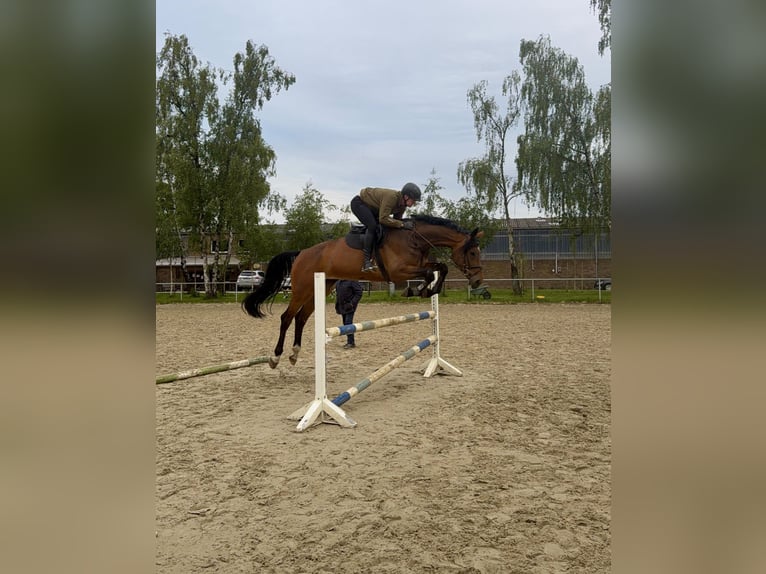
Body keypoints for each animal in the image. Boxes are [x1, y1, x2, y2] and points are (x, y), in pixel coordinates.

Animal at [242, 214, 485, 368]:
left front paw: (427, 290)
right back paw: (276, 357)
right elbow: (428, 273)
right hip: (303, 289)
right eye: (473, 253)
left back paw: (294, 354)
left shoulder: (419, 265)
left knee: (301, 318)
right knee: (287, 317)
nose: (477, 281)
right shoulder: (398, 271)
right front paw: (417, 290)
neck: (414, 238)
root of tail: (302, 252)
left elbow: (440, 268)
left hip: (322, 287)